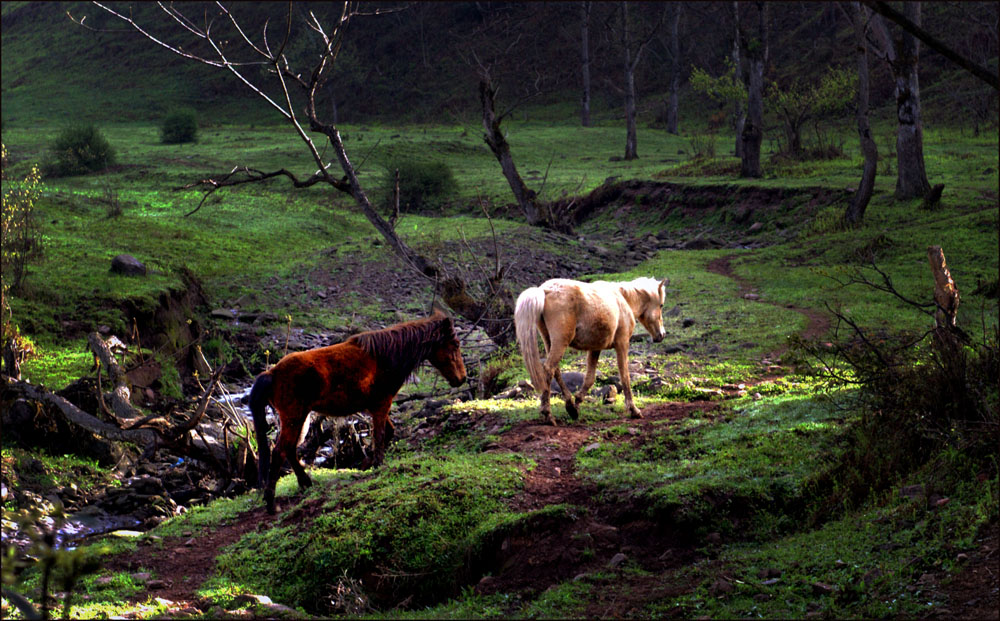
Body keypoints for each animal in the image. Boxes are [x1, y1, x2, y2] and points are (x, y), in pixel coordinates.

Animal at [250, 306, 468, 512]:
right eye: (455, 345)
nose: (462, 378)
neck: (385, 357)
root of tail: (272, 373)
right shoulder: (382, 405)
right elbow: (380, 436)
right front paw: (376, 464)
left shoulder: (376, 407)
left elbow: (388, 432)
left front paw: (367, 463)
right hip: (294, 418)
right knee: (279, 452)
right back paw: (271, 503)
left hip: (299, 418)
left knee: (288, 449)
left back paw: (305, 483)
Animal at [516, 278, 664, 426]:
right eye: (661, 305)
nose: (662, 335)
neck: (623, 299)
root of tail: (545, 290)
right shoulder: (622, 344)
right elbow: (625, 377)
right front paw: (634, 410)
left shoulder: (595, 349)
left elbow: (589, 379)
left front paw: (576, 405)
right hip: (560, 343)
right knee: (549, 368)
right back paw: (548, 414)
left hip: (549, 341)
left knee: (555, 370)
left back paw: (569, 405)